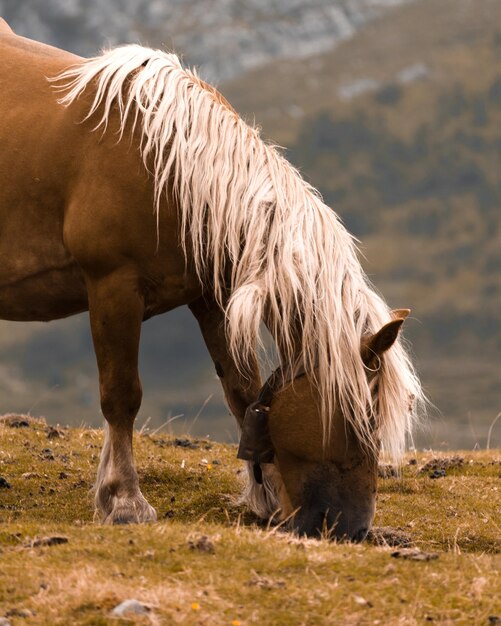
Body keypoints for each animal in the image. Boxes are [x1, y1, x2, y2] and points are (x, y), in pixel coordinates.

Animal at [0, 18, 422, 536]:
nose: (350, 527)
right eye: (359, 417)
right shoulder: (113, 287)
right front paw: (124, 500)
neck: (167, 167)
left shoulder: (213, 300)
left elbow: (242, 392)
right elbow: (122, 396)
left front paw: (266, 498)